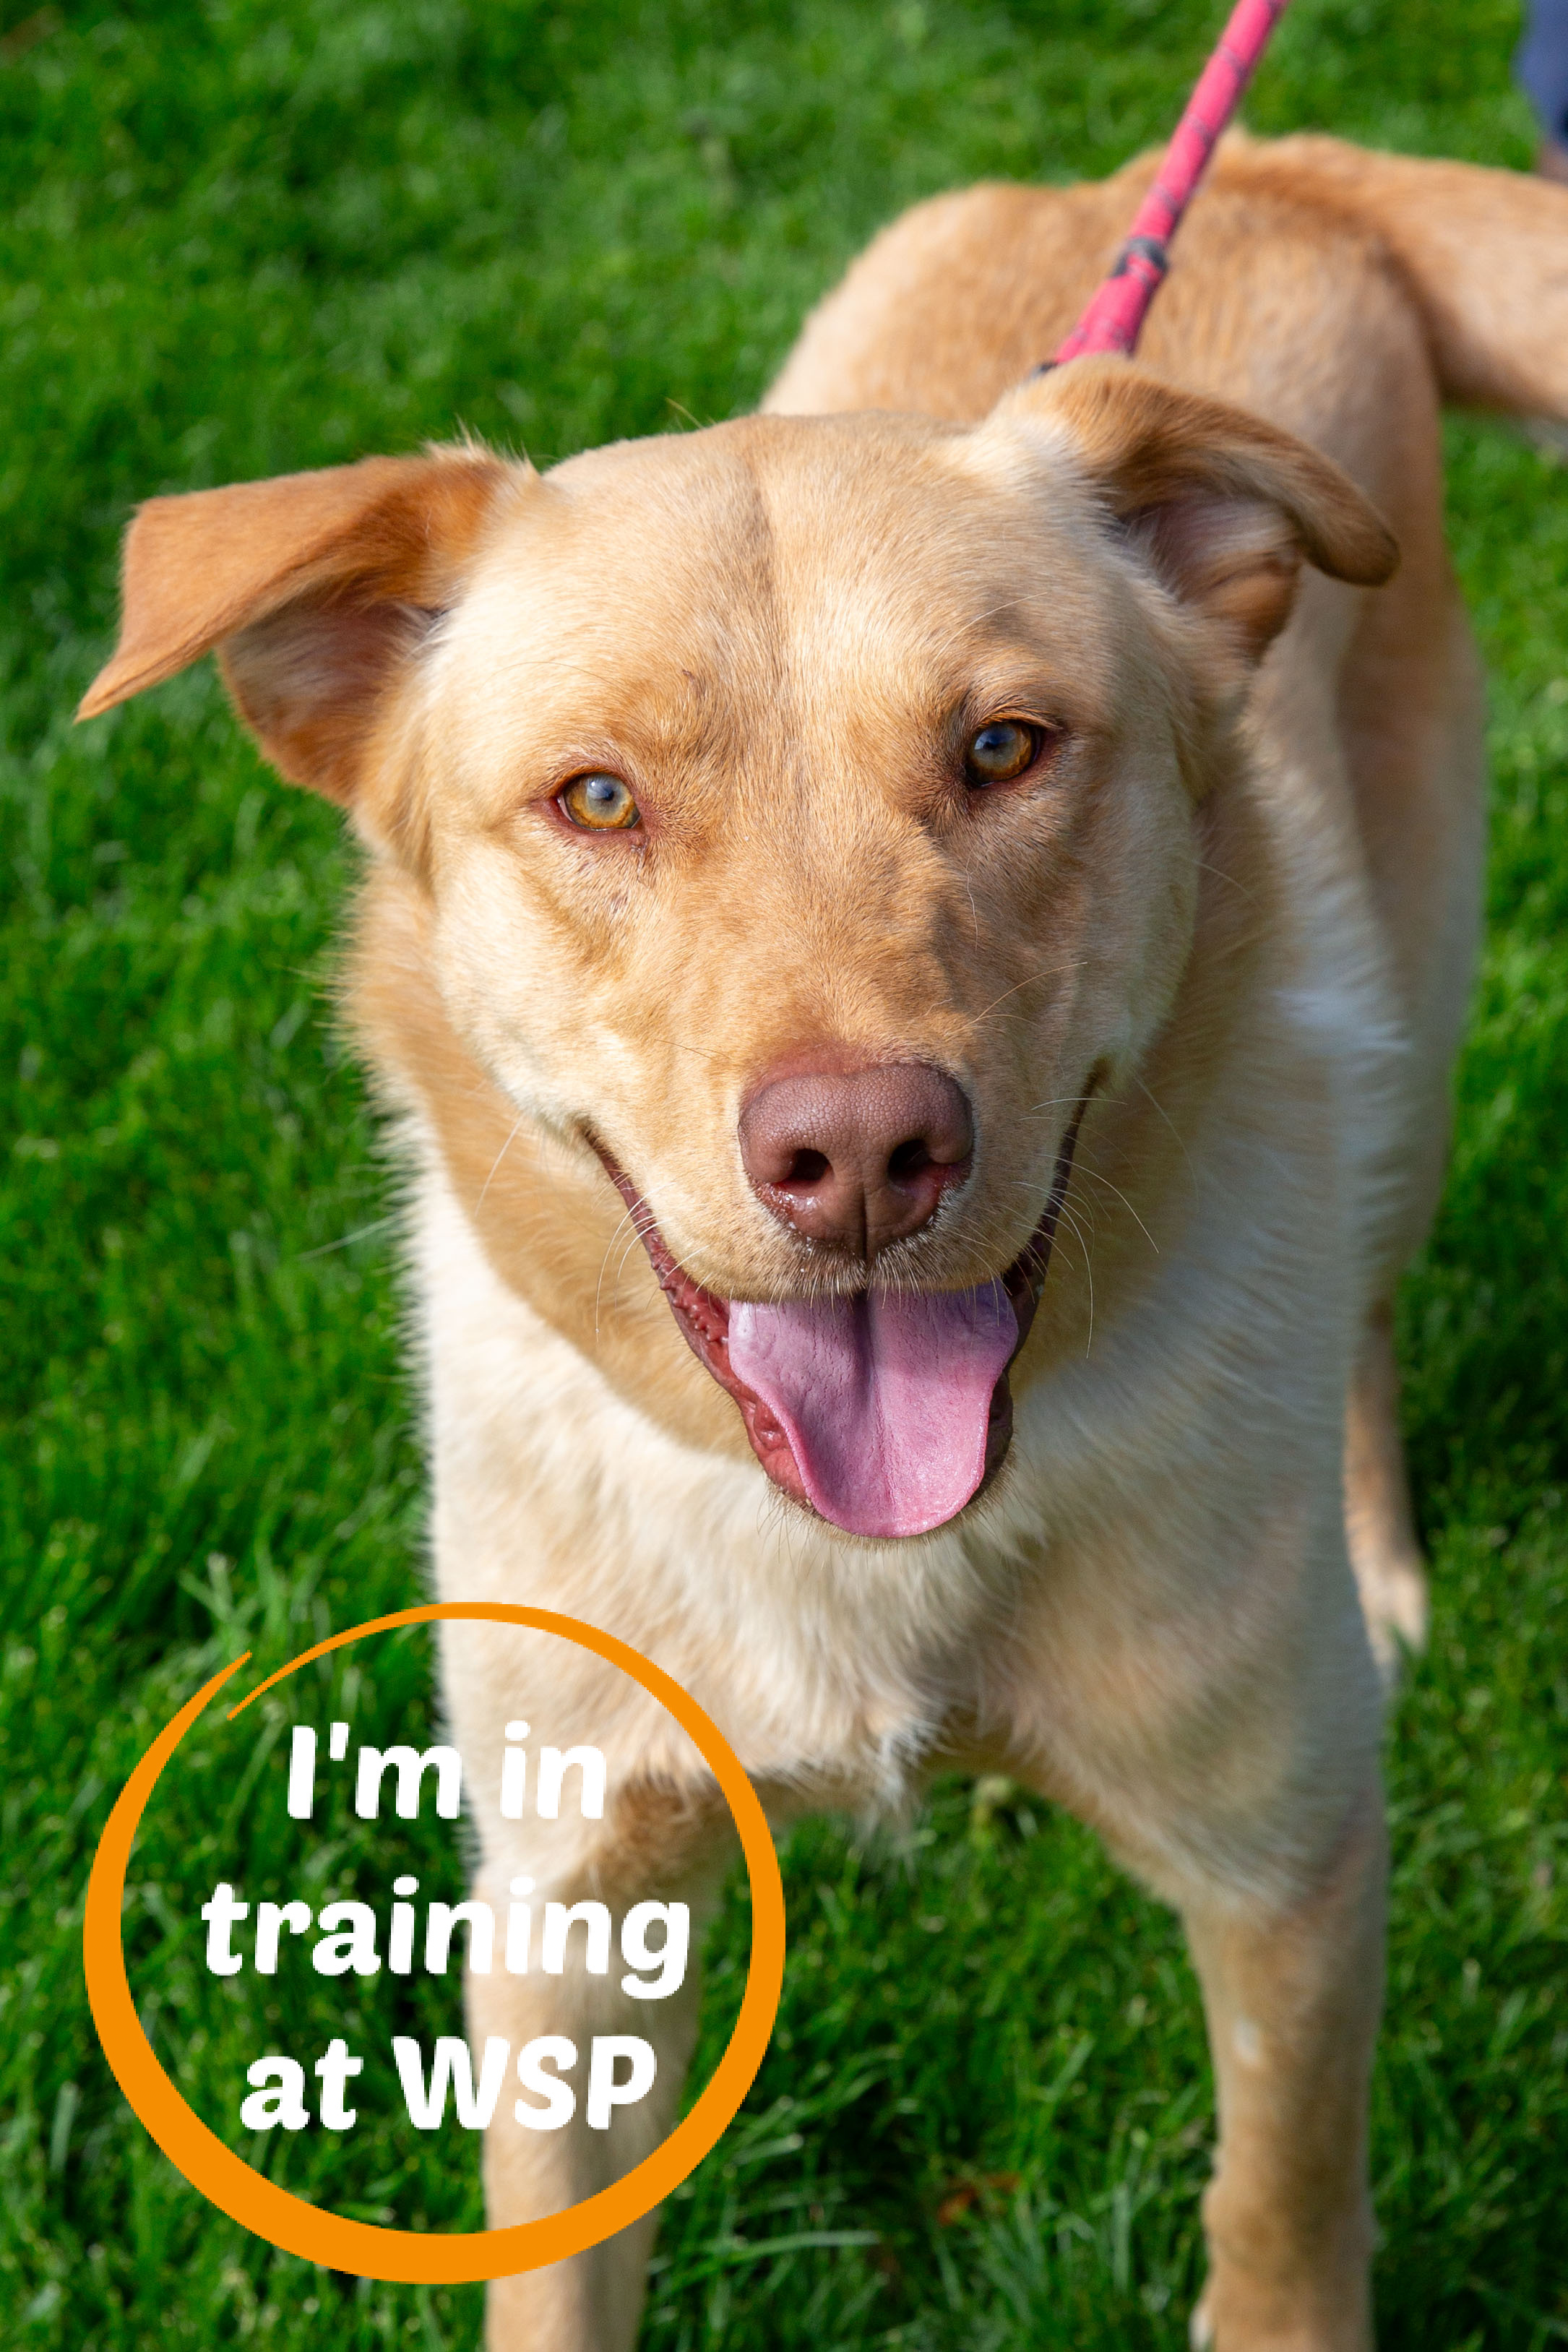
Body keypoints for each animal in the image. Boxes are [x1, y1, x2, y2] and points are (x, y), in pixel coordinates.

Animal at [79, 133, 1568, 2352]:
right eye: (597, 798)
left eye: (1005, 746)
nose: (862, 1152)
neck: (858, 1552)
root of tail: (1254, 171)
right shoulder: (568, 1909)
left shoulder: (1289, 1869)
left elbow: (1281, 2217)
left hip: (1412, 1021)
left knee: (1368, 1307)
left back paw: (1378, 1554)